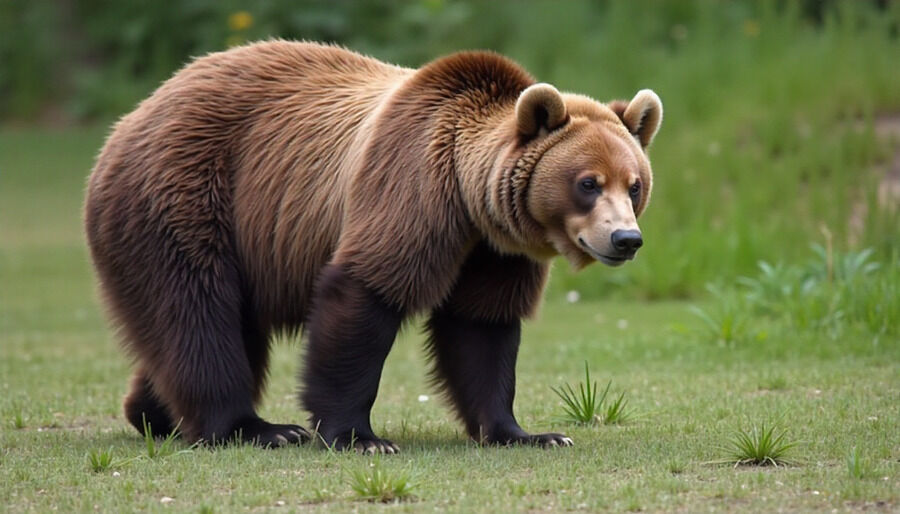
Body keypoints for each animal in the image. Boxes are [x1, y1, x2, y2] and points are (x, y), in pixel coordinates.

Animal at [84, 41, 662, 453]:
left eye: (634, 185)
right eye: (588, 183)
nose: (626, 238)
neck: (469, 201)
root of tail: (130, 118)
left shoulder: (494, 252)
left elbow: (482, 327)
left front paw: (528, 433)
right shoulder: (409, 184)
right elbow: (367, 292)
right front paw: (358, 435)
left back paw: (153, 412)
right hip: (187, 197)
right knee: (197, 309)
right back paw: (255, 427)